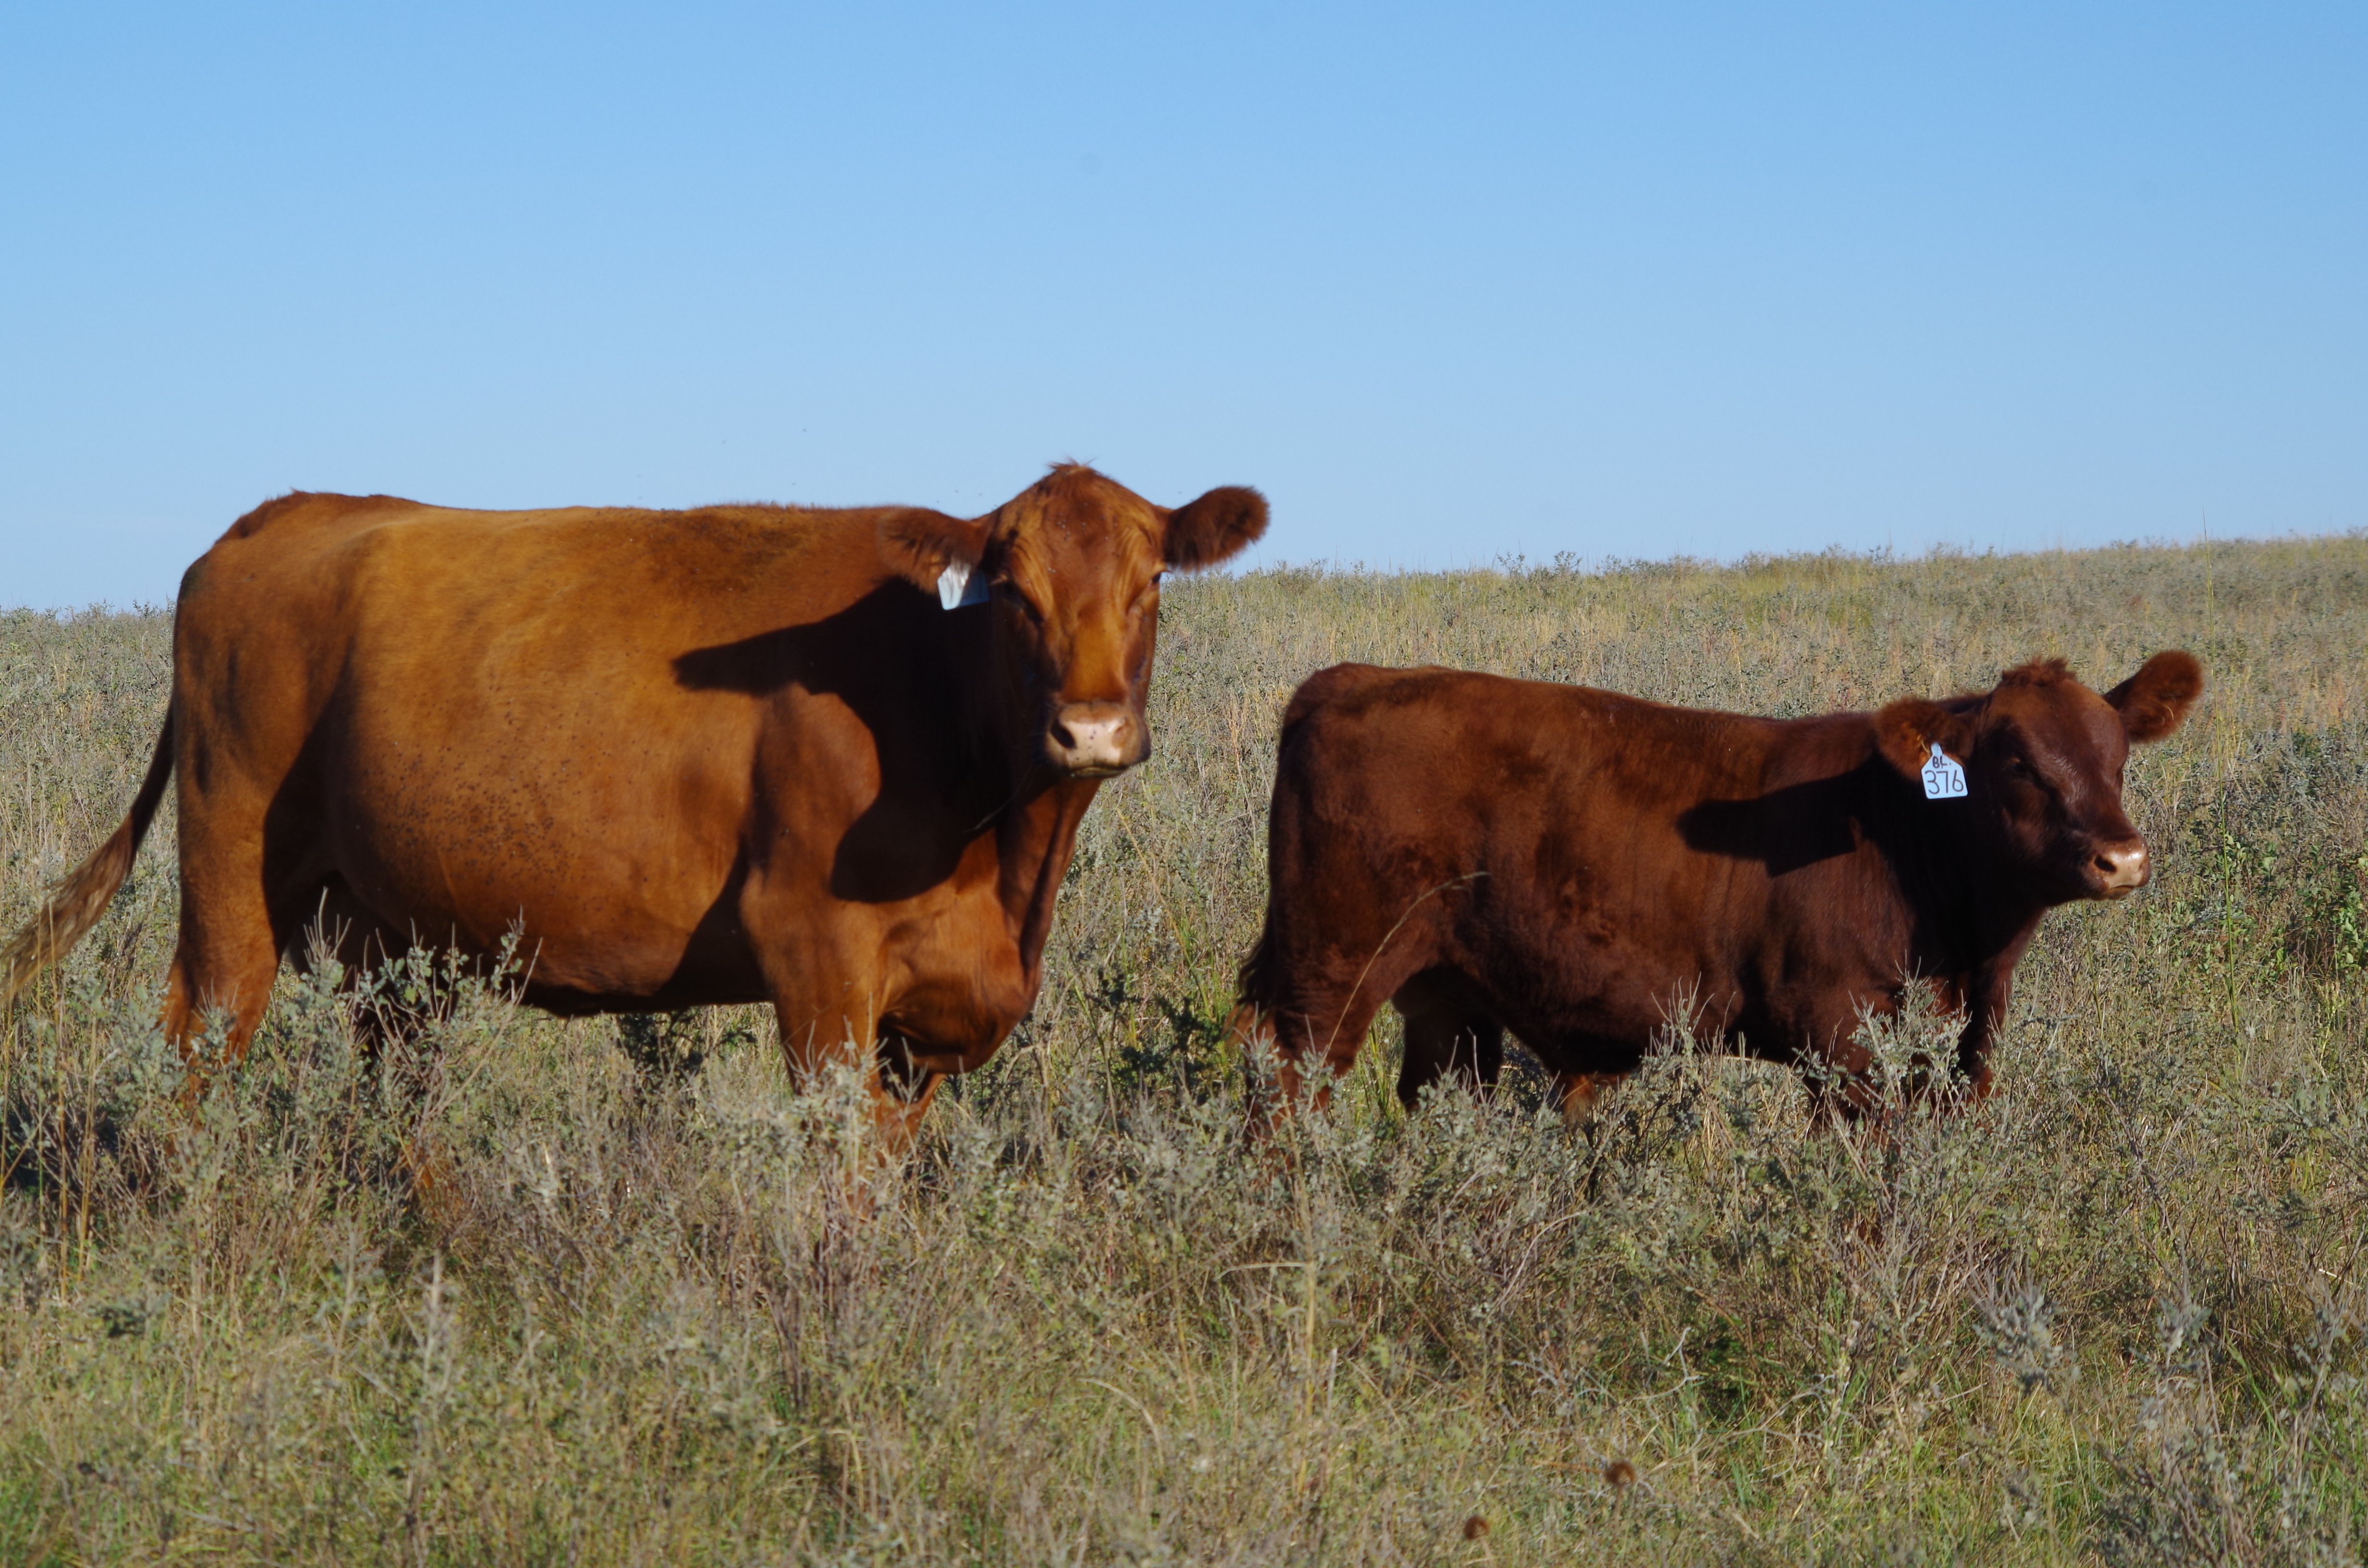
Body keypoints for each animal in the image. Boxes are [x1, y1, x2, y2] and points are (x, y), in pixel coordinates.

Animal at [9, 464, 1269, 1141]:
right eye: (1011, 592)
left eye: (1153, 580)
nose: (1090, 730)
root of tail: (287, 510)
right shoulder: (814, 956)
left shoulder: (927, 1020)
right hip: (233, 867)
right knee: (199, 1045)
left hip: (387, 931)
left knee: (392, 1087)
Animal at [1231, 653, 2207, 1132]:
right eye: (2016, 762)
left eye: (2117, 754)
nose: (2121, 858)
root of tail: (1349, 679)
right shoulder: (1840, 1038)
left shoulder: (1959, 1046)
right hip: (1329, 973)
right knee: (1287, 1098)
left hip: (1448, 998)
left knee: (1438, 1102)